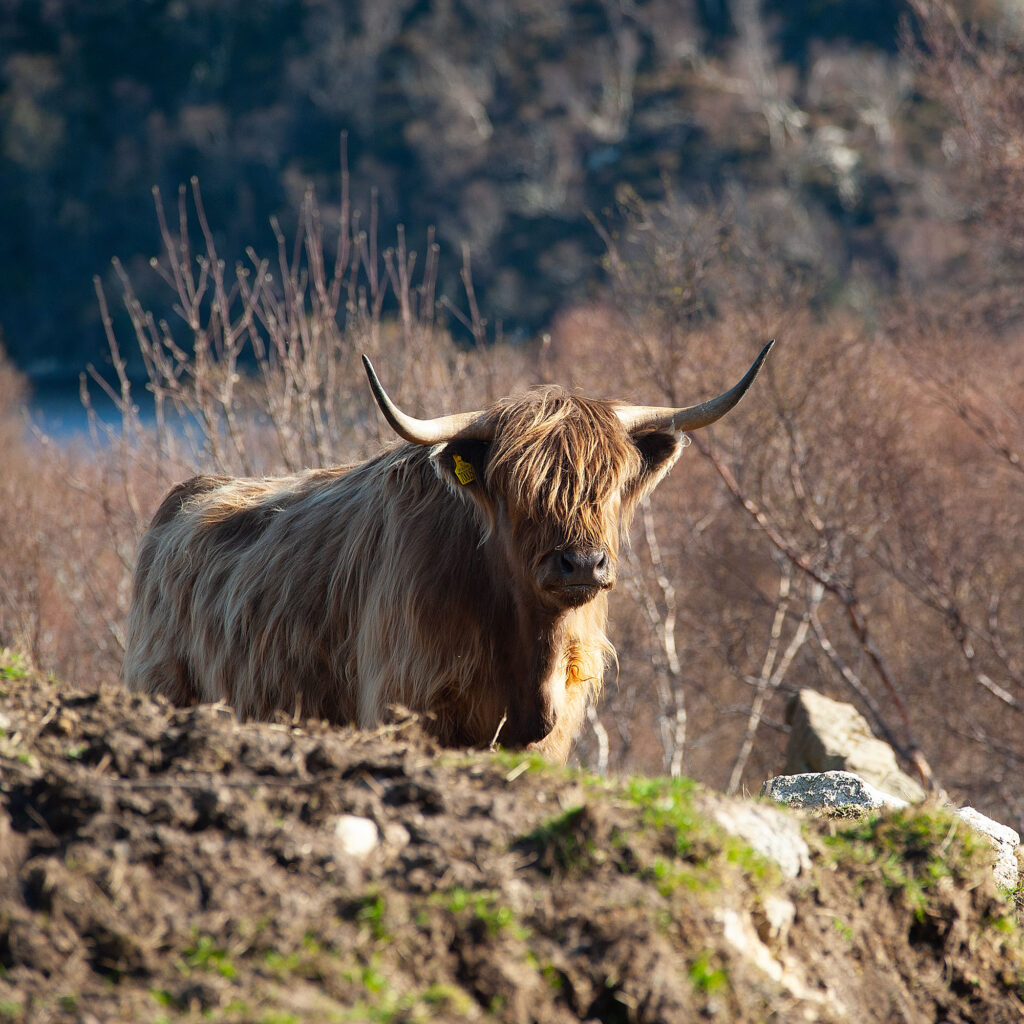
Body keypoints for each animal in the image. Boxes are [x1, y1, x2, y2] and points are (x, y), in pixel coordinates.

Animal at [122, 341, 773, 763]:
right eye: (518, 487)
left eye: (610, 484)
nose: (582, 564)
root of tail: (186, 495)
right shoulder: (407, 708)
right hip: (161, 690)